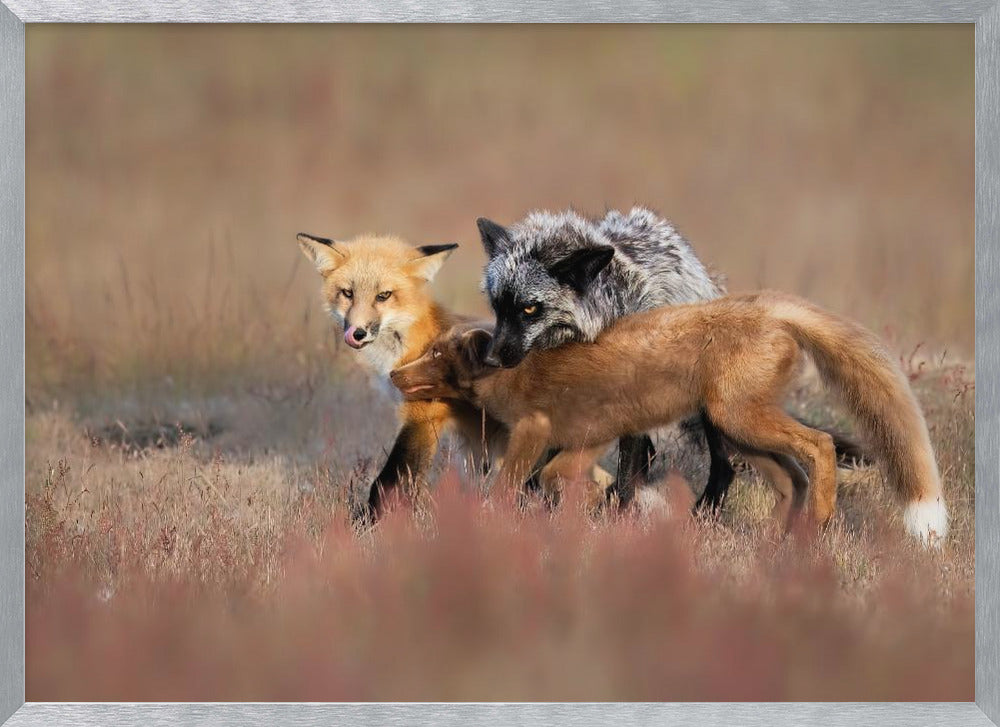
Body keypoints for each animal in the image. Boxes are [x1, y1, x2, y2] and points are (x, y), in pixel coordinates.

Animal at [390, 290, 948, 545]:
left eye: (437, 355)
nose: (395, 374)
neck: (511, 373)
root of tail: (769, 306)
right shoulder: (590, 437)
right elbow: (561, 478)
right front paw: (591, 511)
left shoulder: (538, 429)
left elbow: (512, 484)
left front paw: (499, 524)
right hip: (738, 433)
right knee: (792, 478)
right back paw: (776, 540)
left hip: (741, 420)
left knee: (820, 446)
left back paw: (820, 521)